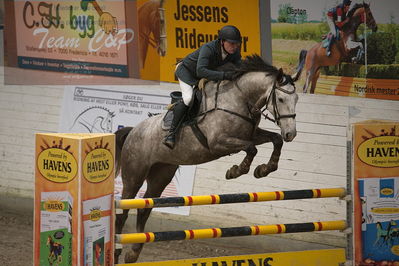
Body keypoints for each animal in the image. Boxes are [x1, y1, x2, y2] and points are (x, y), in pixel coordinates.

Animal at [114, 55, 302, 262]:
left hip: (160, 175)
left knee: (144, 208)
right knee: (123, 211)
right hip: (134, 175)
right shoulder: (218, 143)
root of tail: (133, 131)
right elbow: (251, 149)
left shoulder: (251, 134)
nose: (291, 133)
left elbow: (275, 140)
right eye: (281, 98)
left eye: (296, 99)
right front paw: (235, 171)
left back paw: (133, 252)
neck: (240, 99)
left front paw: (264, 169)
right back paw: (117, 251)